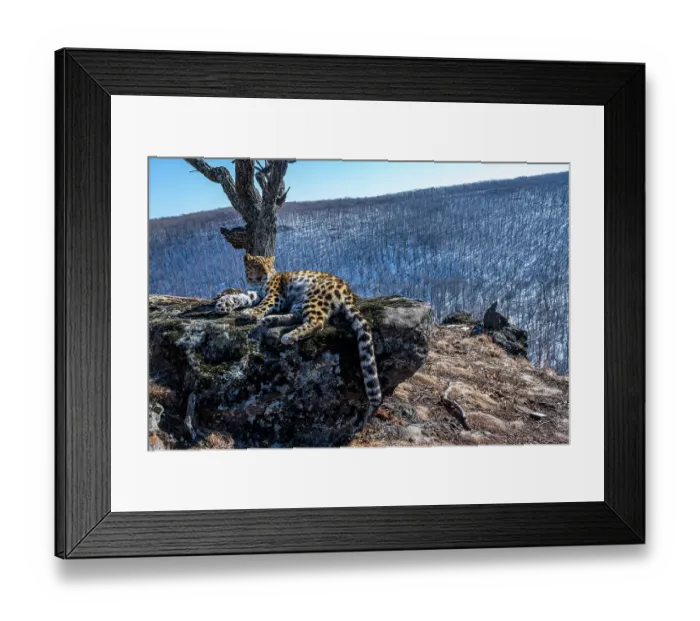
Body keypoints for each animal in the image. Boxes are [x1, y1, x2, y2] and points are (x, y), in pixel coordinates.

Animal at [215, 254, 382, 416]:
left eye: (268, 265)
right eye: (257, 265)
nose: (265, 274)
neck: (257, 283)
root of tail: (348, 291)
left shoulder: (275, 295)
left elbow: (263, 304)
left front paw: (251, 313)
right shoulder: (254, 293)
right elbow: (241, 296)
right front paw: (223, 304)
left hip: (313, 295)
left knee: (316, 322)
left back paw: (287, 335)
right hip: (299, 301)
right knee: (297, 316)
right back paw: (270, 320)